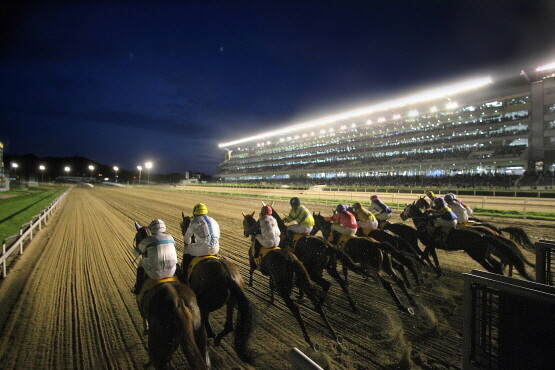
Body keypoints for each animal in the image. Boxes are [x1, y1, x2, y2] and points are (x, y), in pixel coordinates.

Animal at [134, 221, 210, 368]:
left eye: (135, 238)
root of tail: (179, 305)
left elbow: (143, 318)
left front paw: (145, 329)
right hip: (199, 332)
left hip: (160, 341)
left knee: (159, 359)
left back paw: (148, 363)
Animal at [180, 212, 254, 362]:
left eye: (182, 225)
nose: (183, 233)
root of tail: (228, 276)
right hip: (231, 301)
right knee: (229, 326)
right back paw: (218, 338)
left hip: (207, 302)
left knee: (206, 320)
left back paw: (211, 336)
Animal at [244, 212, 344, 348]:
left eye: (244, 222)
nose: (245, 232)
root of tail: (328, 246)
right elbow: (272, 284)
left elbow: (253, 272)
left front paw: (251, 284)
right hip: (313, 273)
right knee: (324, 294)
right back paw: (334, 331)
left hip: (301, 278)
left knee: (298, 306)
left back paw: (309, 339)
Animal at [400, 201, 536, 278]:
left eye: (405, 209)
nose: (401, 215)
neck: (425, 223)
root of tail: (486, 234)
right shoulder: (431, 245)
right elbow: (431, 257)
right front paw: (438, 272)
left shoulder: (430, 243)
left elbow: (424, 256)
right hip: (486, 254)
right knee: (500, 263)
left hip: (478, 255)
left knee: (498, 264)